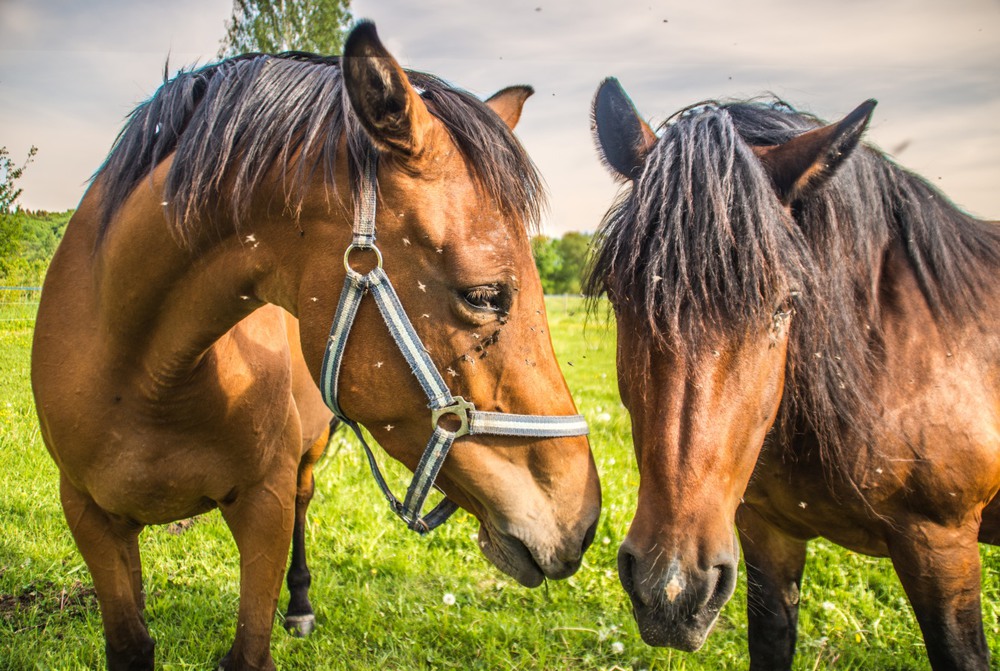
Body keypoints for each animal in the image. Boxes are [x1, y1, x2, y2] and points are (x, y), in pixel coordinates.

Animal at [31, 22, 596, 671]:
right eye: (484, 295)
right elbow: (130, 642)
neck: (145, 377)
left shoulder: (265, 504)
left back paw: (299, 606)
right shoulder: (88, 516)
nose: (582, 519)